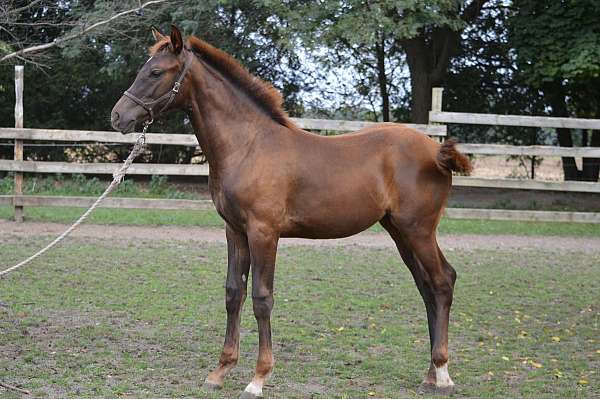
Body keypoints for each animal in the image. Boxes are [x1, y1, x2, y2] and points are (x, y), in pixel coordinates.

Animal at [110, 26, 472, 398]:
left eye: (155, 72)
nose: (118, 117)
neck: (248, 145)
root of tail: (437, 151)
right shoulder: (234, 231)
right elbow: (233, 293)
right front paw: (220, 371)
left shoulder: (264, 232)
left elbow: (261, 298)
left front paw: (258, 377)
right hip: (399, 231)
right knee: (427, 286)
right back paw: (429, 374)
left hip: (418, 230)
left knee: (442, 281)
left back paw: (442, 373)